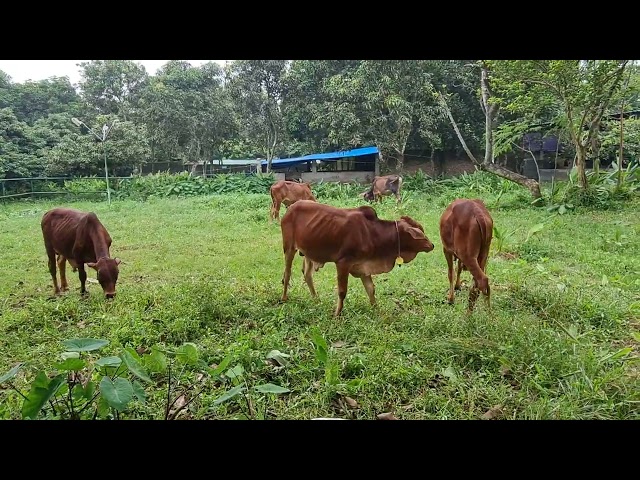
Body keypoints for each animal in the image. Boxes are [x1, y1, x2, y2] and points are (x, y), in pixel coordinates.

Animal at [280, 199, 436, 316]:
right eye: (420, 235)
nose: (432, 245)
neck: (373, 233)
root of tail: (291, 208)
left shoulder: (363, 266)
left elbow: (371, 289)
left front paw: (376, 310)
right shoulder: (343, 263)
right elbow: (342, 292)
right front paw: (337, 314)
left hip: (308, 252)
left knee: (307, 275)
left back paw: (316, 299)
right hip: (289, 248)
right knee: (287, 273)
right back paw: (284, 298)